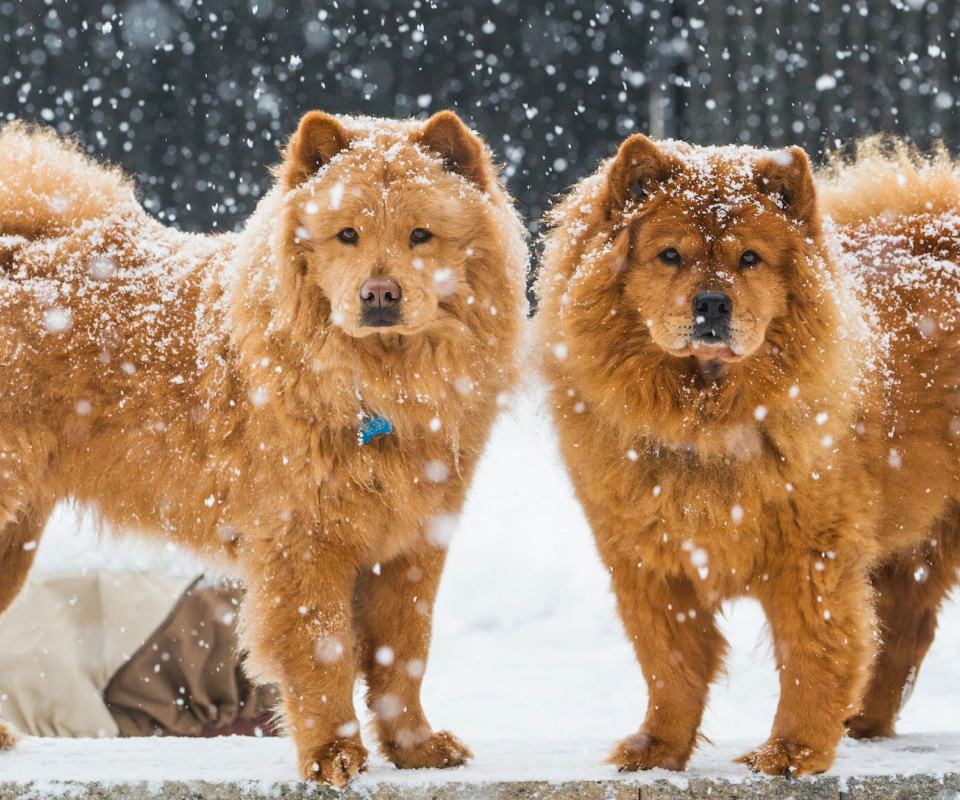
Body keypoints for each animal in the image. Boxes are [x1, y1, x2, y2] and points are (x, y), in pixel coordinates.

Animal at [0, 109, 524, 784]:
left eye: (420, 235)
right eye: (347, 235)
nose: (380, 293)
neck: (380, 387)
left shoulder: (414, 542)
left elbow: (402, 655)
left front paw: (416, 748)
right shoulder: (304, 541)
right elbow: (324, 653)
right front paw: (332, 756)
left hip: (17, 538)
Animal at [536, 134, 960, 780]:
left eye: (750, 259)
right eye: (669, 256)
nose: (712, 303)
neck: (707, 419)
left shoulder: (811, 555)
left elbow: (813, 654)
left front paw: (791, 752)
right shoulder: (646, 558)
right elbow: (670, 661)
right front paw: (656, 749)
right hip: (914, 546)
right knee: (905, 631)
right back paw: (864, 723)